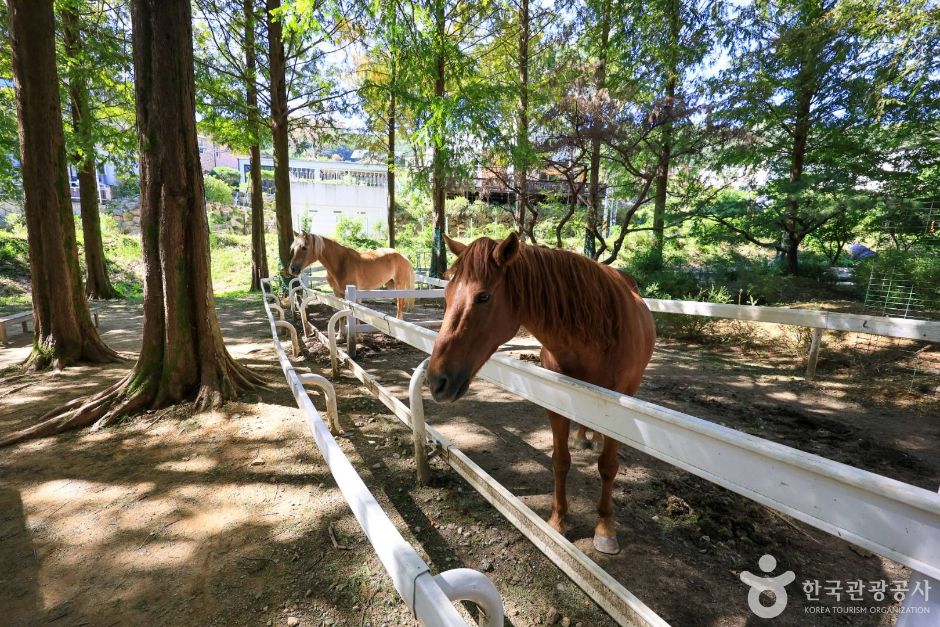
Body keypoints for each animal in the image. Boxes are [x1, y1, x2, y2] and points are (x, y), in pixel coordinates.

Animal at [287, 231, 415, 318]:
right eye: (293, 248)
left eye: (304, 247)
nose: (292, 269)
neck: (340, 263)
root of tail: (402, 255)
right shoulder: (338, 294)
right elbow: (342, 318)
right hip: (390, 284)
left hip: (400, 285)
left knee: (400, 304)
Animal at [427, 232, 655, 555]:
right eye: (446, 295)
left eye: (483, 297)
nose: (437, 381)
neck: (598, 335)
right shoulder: (557, 402)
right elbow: (560, 461)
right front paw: (558, 521)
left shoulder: (619, 409)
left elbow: (608, 466)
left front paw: (605, 529)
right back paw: (583, 437)